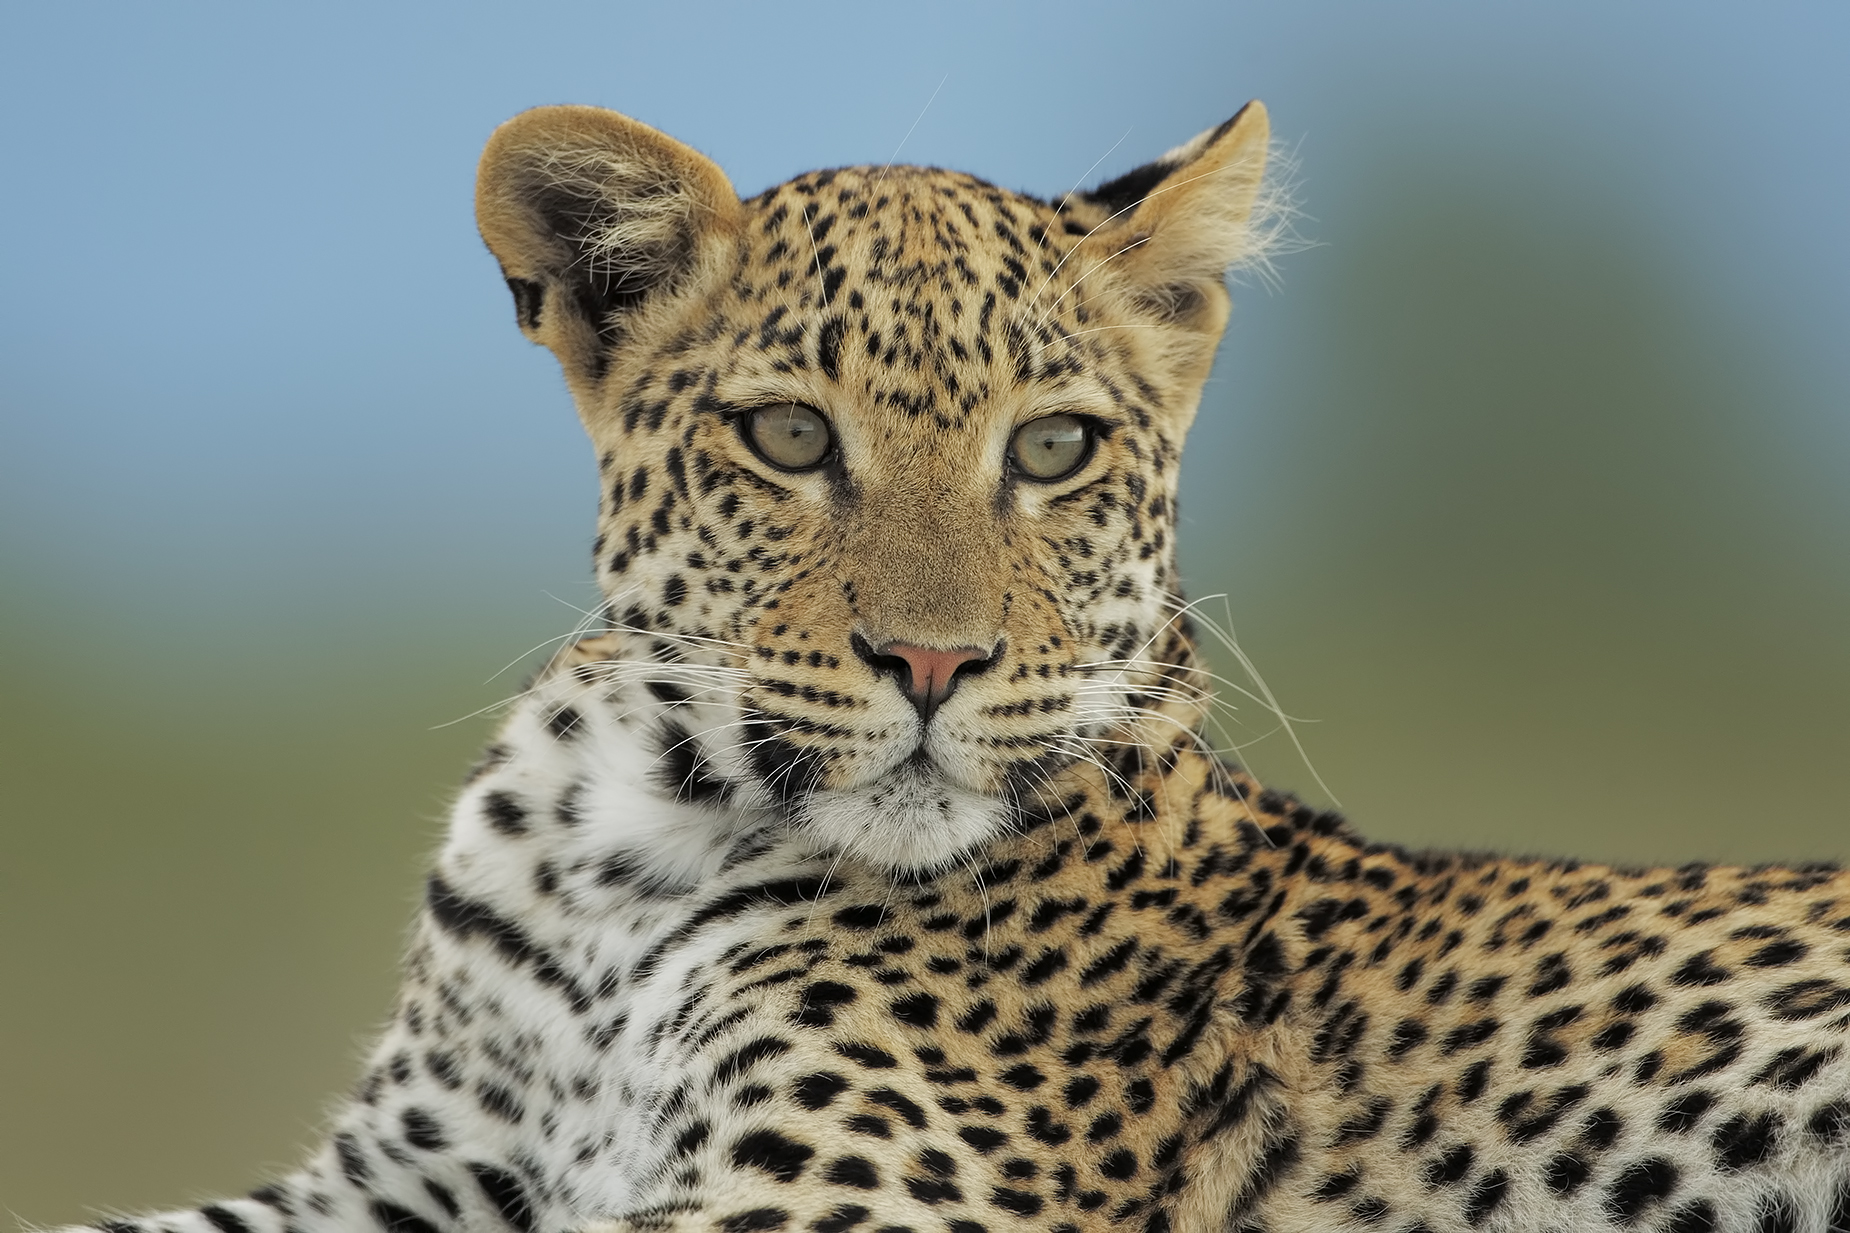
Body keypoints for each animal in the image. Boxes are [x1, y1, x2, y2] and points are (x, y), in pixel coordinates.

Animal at [52, 101, 1850, 1233]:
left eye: (1052, 449)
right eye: (789, 437)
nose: (933, 660)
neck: (633, 837)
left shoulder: (853, 1187)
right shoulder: (399, 1179)